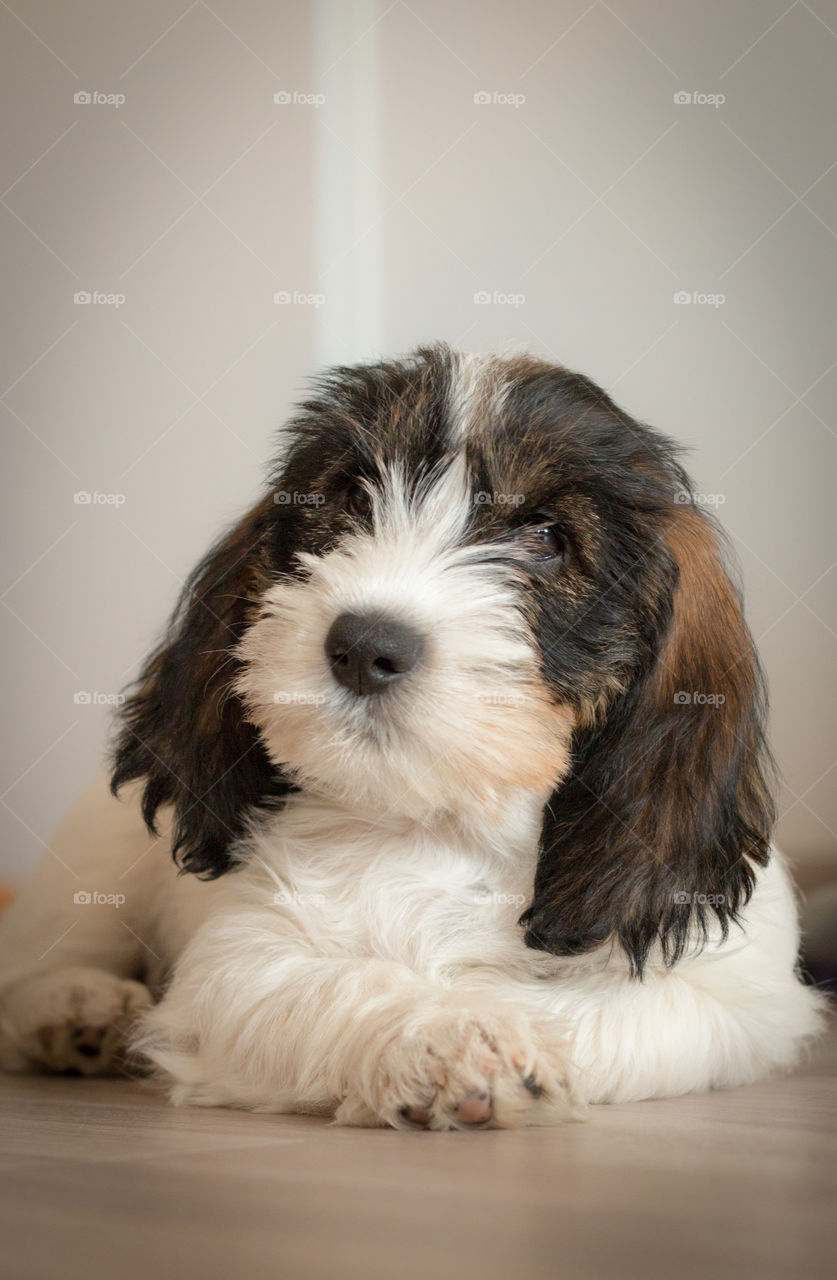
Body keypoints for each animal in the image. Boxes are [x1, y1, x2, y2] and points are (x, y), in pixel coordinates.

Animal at [0, 343, 824, 1131]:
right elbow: (331, 985)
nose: (364, 645)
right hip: (94, 857)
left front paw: (488, 1026)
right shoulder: (239, 963)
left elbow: (577, 1007)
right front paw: (449, 1038)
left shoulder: (735, 1000)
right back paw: (77, 1009)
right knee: (28, 962)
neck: (446, 821)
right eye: (350, 498)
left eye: (546, 537)